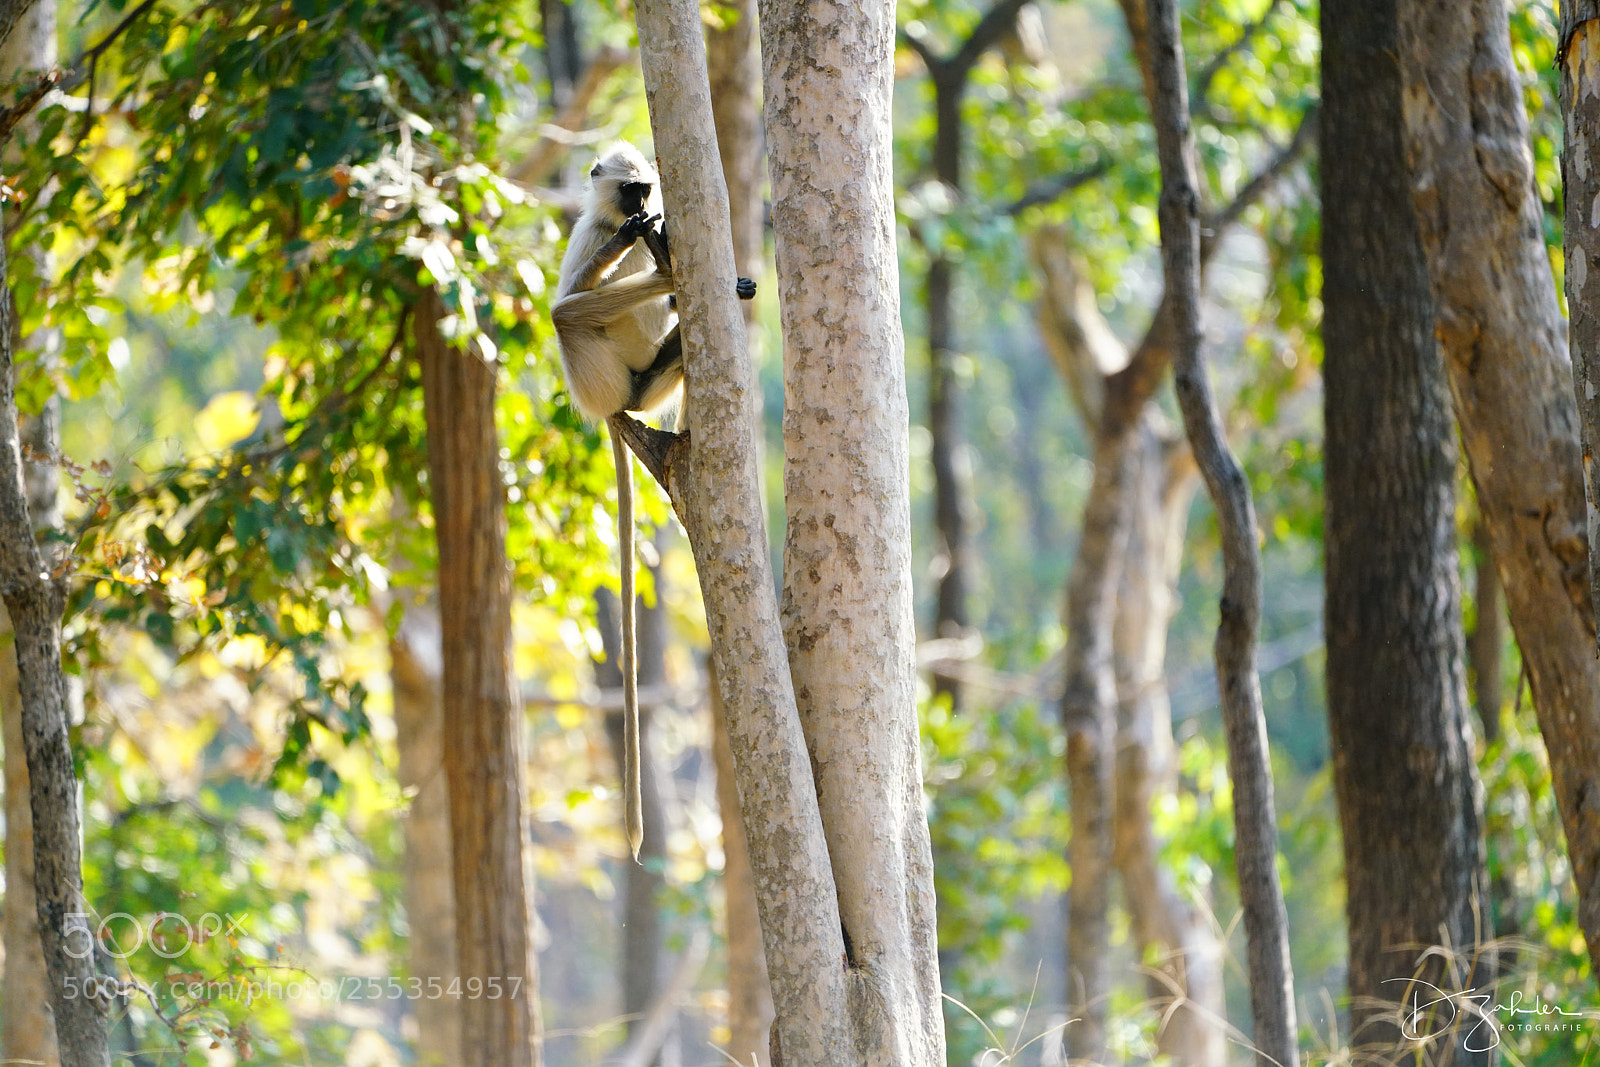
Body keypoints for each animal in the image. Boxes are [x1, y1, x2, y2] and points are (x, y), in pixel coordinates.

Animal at [551, 142, 754, 862]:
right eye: (629, 191)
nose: (642, 208)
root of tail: (614, 407)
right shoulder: (587, 235)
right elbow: (567, 298)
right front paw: (639, 241)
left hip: (652, 379)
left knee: (681, 348)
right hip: (600, 377)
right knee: (568, 317)